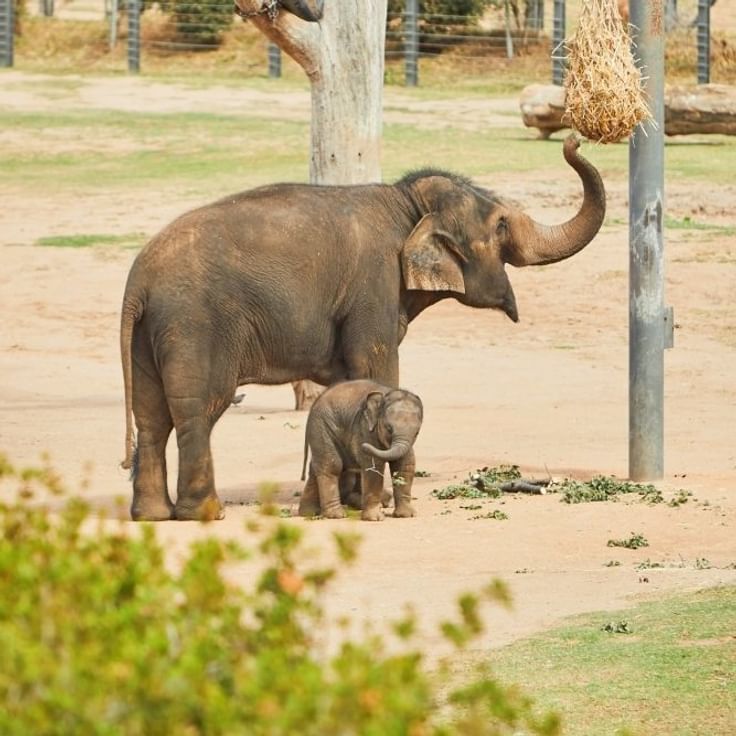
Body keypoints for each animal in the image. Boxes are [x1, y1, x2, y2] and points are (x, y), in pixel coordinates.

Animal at [298, 380, 423, 521]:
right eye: (389, 428)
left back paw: (308, 513)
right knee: (332, 465)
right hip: (322, 427)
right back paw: (336, 515)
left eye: (417, 432)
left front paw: (406, 515)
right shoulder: (365, 428)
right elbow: (374, 467)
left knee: (317, 467)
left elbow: (405, 465)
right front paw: (375, 519)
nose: (363, 446)